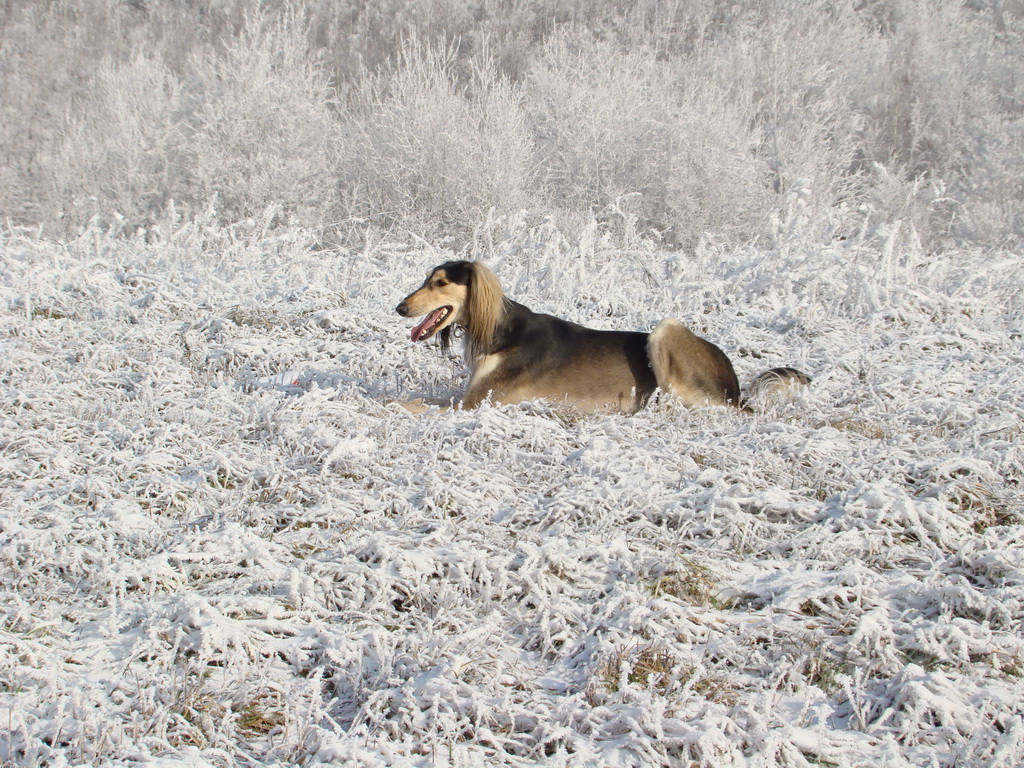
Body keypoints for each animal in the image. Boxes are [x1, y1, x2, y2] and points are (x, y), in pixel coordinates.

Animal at [395, 260, 802, 415]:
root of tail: (734, 383)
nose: (400, 307)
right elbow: (416, 398)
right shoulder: (469, 398)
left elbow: (409, 405)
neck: (496, 330)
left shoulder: (477, 404)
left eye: (440, 283)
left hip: (667, 330)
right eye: (426, 279)